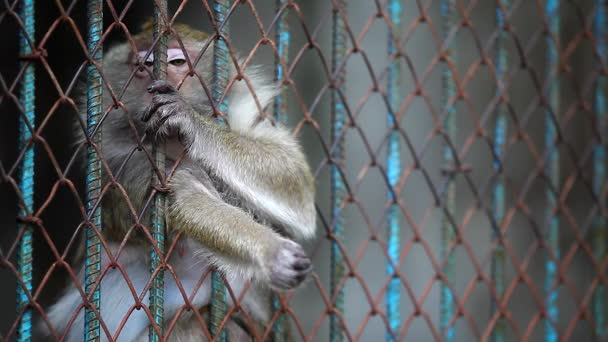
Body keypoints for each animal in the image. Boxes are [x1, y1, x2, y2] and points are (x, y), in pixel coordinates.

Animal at [38, 22, 316, 342]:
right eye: (141, 66)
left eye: (178, 62)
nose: (151, 77)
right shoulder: (129, 165)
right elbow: (184, 198)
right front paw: (272, 253)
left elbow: (293, 173)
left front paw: (189, 120)